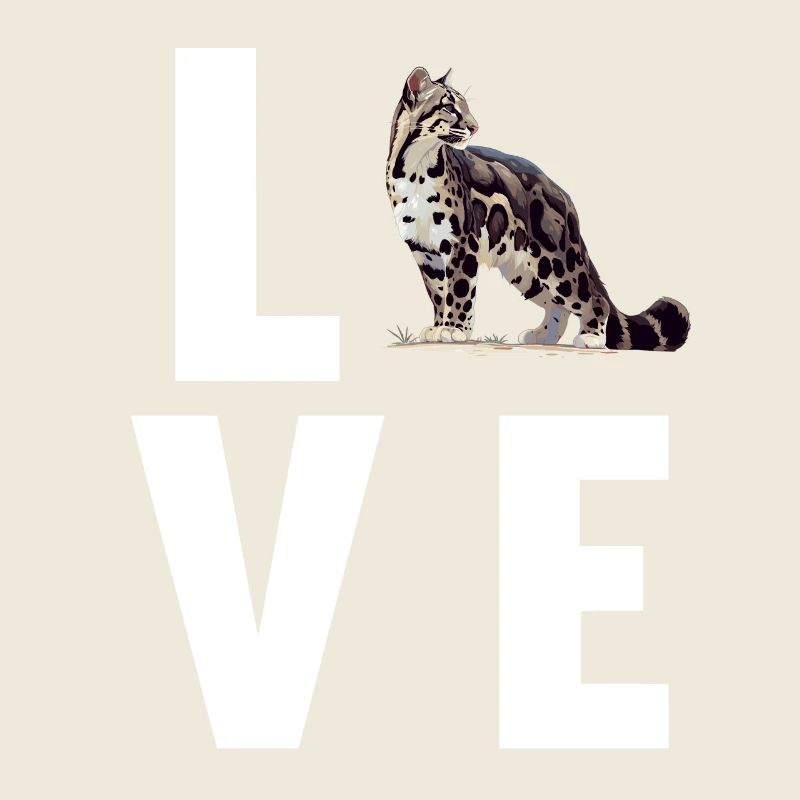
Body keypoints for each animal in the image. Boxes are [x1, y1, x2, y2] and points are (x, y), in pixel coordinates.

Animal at [386, 67, 690, 350]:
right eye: (449, 107)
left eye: (466, 106)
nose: (474, 127)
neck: (415, 169)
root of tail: (562, 194)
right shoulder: (424, 250)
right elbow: (438, 294)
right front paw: (439, 326)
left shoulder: (461, 243)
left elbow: (458, 290)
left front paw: (454, 329)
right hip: (526, 269)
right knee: (558, 305)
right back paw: (543, 335)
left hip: (557, 262)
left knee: (593, 298)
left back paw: (590, 336)